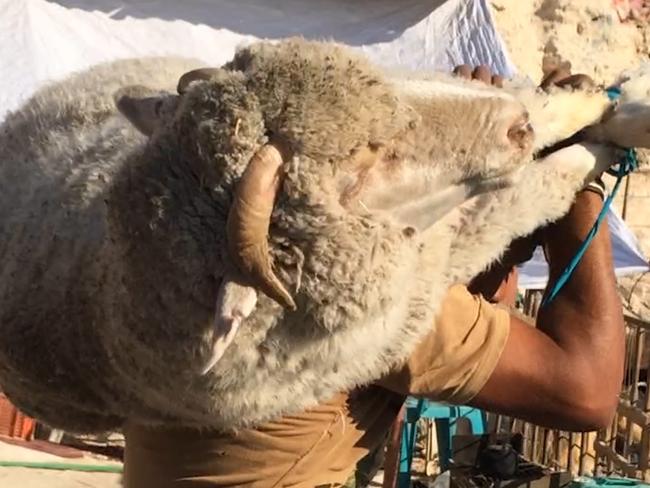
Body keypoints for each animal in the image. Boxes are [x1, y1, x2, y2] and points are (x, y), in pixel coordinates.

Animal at [1, 39, 648, 434]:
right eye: (359, 172)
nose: (515, 128)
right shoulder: (427, 271)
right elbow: (528, 191)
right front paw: (594, 144)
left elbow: (534, 109)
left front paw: (591, 102)